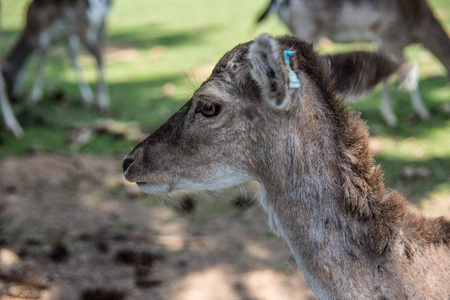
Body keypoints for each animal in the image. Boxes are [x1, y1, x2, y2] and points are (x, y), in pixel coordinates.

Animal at [256, 0, 450, 125]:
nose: (445, 109)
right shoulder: (385, 36)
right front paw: (393, 117)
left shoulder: (396, 45)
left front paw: (421, 112)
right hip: (307, 28)